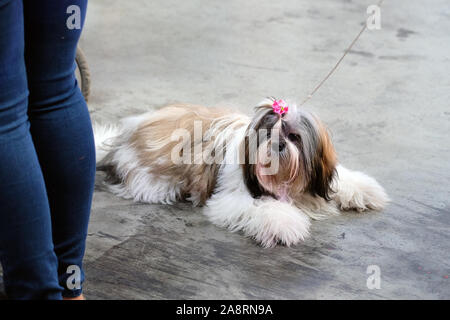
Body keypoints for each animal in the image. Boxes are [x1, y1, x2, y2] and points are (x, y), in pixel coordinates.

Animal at [93, 98, 388, 248]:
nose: (277, 144)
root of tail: (124, 137)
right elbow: (264, 207)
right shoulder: (231, 198)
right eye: (267, 133)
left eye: (293, 136)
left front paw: (365, 189)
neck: (285, 180)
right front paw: (285, 223)